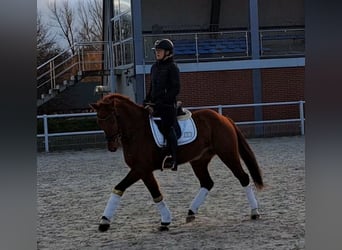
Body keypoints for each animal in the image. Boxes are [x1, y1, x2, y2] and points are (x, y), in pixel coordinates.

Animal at [89, 93, 264, 231]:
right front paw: (165, 220)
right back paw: (191, 213)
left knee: (243, 178)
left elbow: (121, 187)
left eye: (112, 119)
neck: (137, 130)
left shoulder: (140, 169)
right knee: (207, 182)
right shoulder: (143, 171)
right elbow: (154, 193)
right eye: (99, 121)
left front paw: (104, 221)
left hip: (228, 155)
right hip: (199, 161)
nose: (112, 147)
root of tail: (222, 118)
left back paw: (254, 212)